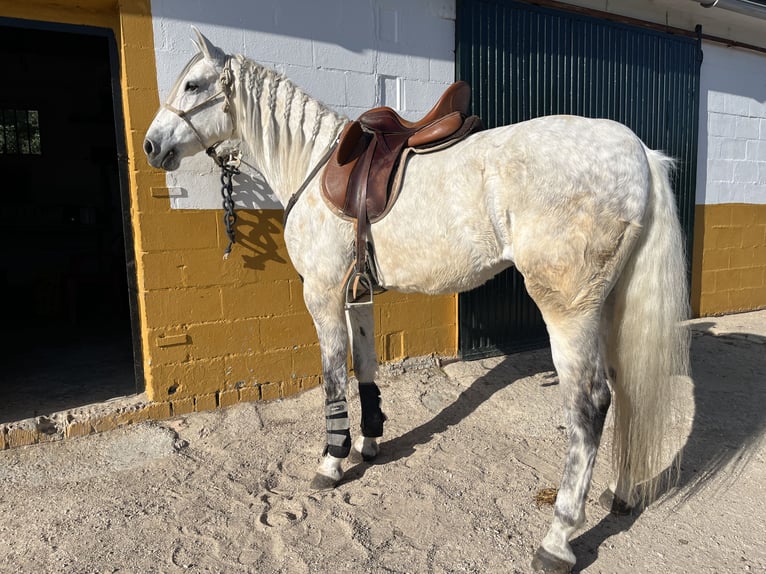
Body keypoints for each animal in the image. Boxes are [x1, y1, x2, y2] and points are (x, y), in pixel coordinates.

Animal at [144, 27, 690, 573]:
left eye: (193, 85)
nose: (151, 145)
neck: (312, 164)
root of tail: (638, 152)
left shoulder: (322, 293)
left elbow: (332, 377)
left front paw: (331, 461)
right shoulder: (358, 297)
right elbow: (365, 367)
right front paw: (368, 443)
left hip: (568, 309)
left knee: (590, 405)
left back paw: (557, 539)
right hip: (611, 304)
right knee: (627, 387)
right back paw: (621, 494)